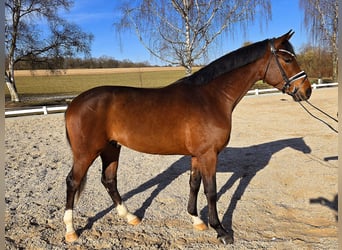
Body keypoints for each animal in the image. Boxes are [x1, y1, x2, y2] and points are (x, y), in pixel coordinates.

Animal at [62, 30, 312, 244]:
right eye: (287, 59)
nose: (307, 90)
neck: (211, 97)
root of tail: (74, 104)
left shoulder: (197, 155)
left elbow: (194, 184)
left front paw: (196, 219)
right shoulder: (209, 155)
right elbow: (211, 191)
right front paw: (221, 230)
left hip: (111, 148)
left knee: (109, 180)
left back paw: (130, 216)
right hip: (87, 152)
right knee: (73, 182)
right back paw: (71, 231)